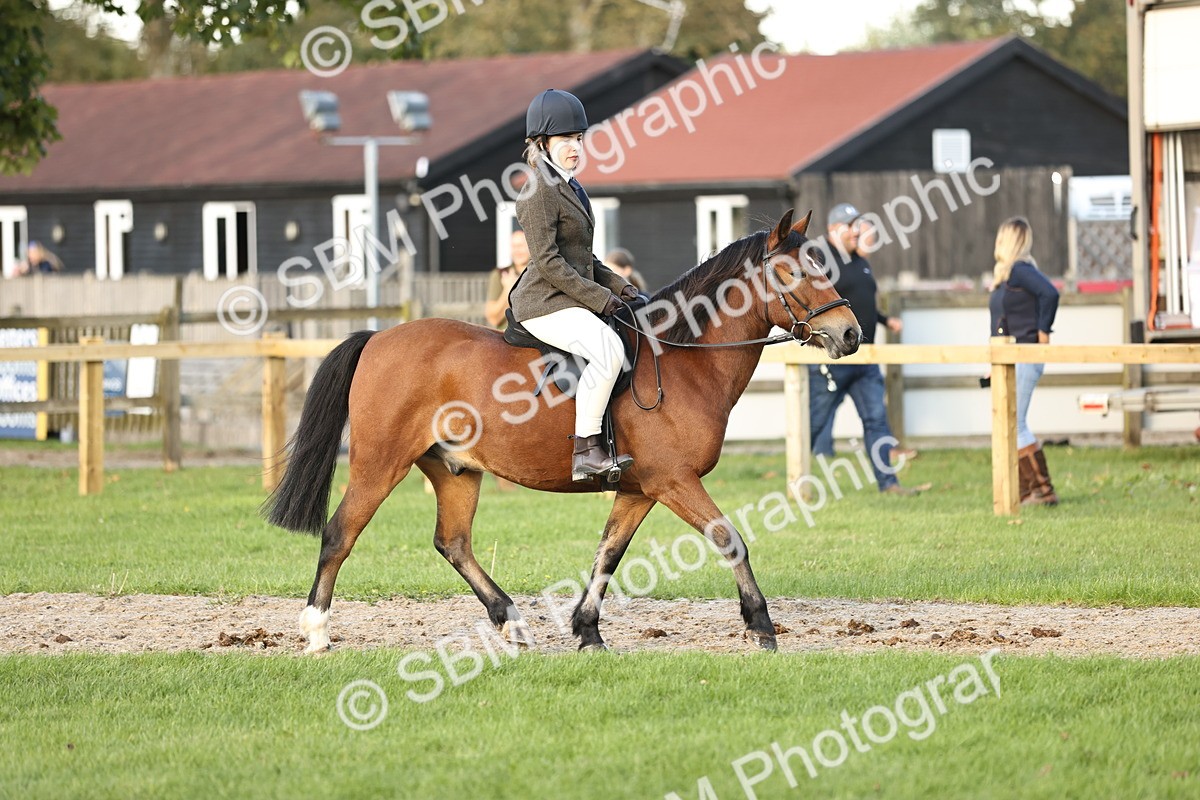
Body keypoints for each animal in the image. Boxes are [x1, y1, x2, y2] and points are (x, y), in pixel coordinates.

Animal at [264, 209, 861, 653]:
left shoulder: (639, 488)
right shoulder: (673, 481)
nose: (850, 334)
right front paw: (761, 626)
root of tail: (379, 338)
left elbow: (608, 556)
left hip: (456, 471)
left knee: (453, 543)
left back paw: (510, 620)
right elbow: (729, 538)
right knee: (340, 534)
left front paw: (588, 631)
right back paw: (316, 631)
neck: (685, 359)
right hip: (379, 464)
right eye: (792, 273)